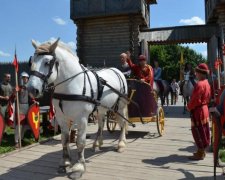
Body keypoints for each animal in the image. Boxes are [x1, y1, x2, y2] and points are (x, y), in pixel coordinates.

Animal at [27, 39, 128, 179]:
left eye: (47, 62)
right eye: (31, 61)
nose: (32, 89)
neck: (71, 84)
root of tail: (117, 71)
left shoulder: (82, 118)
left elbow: (80, 142)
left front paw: (79, 167)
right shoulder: (61, 118)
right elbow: (64, 140)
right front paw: (65, 162)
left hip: (119, 107)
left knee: (122, 123)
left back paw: (121, 143)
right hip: (101, 109)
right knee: (101, 124)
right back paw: (97, 143)